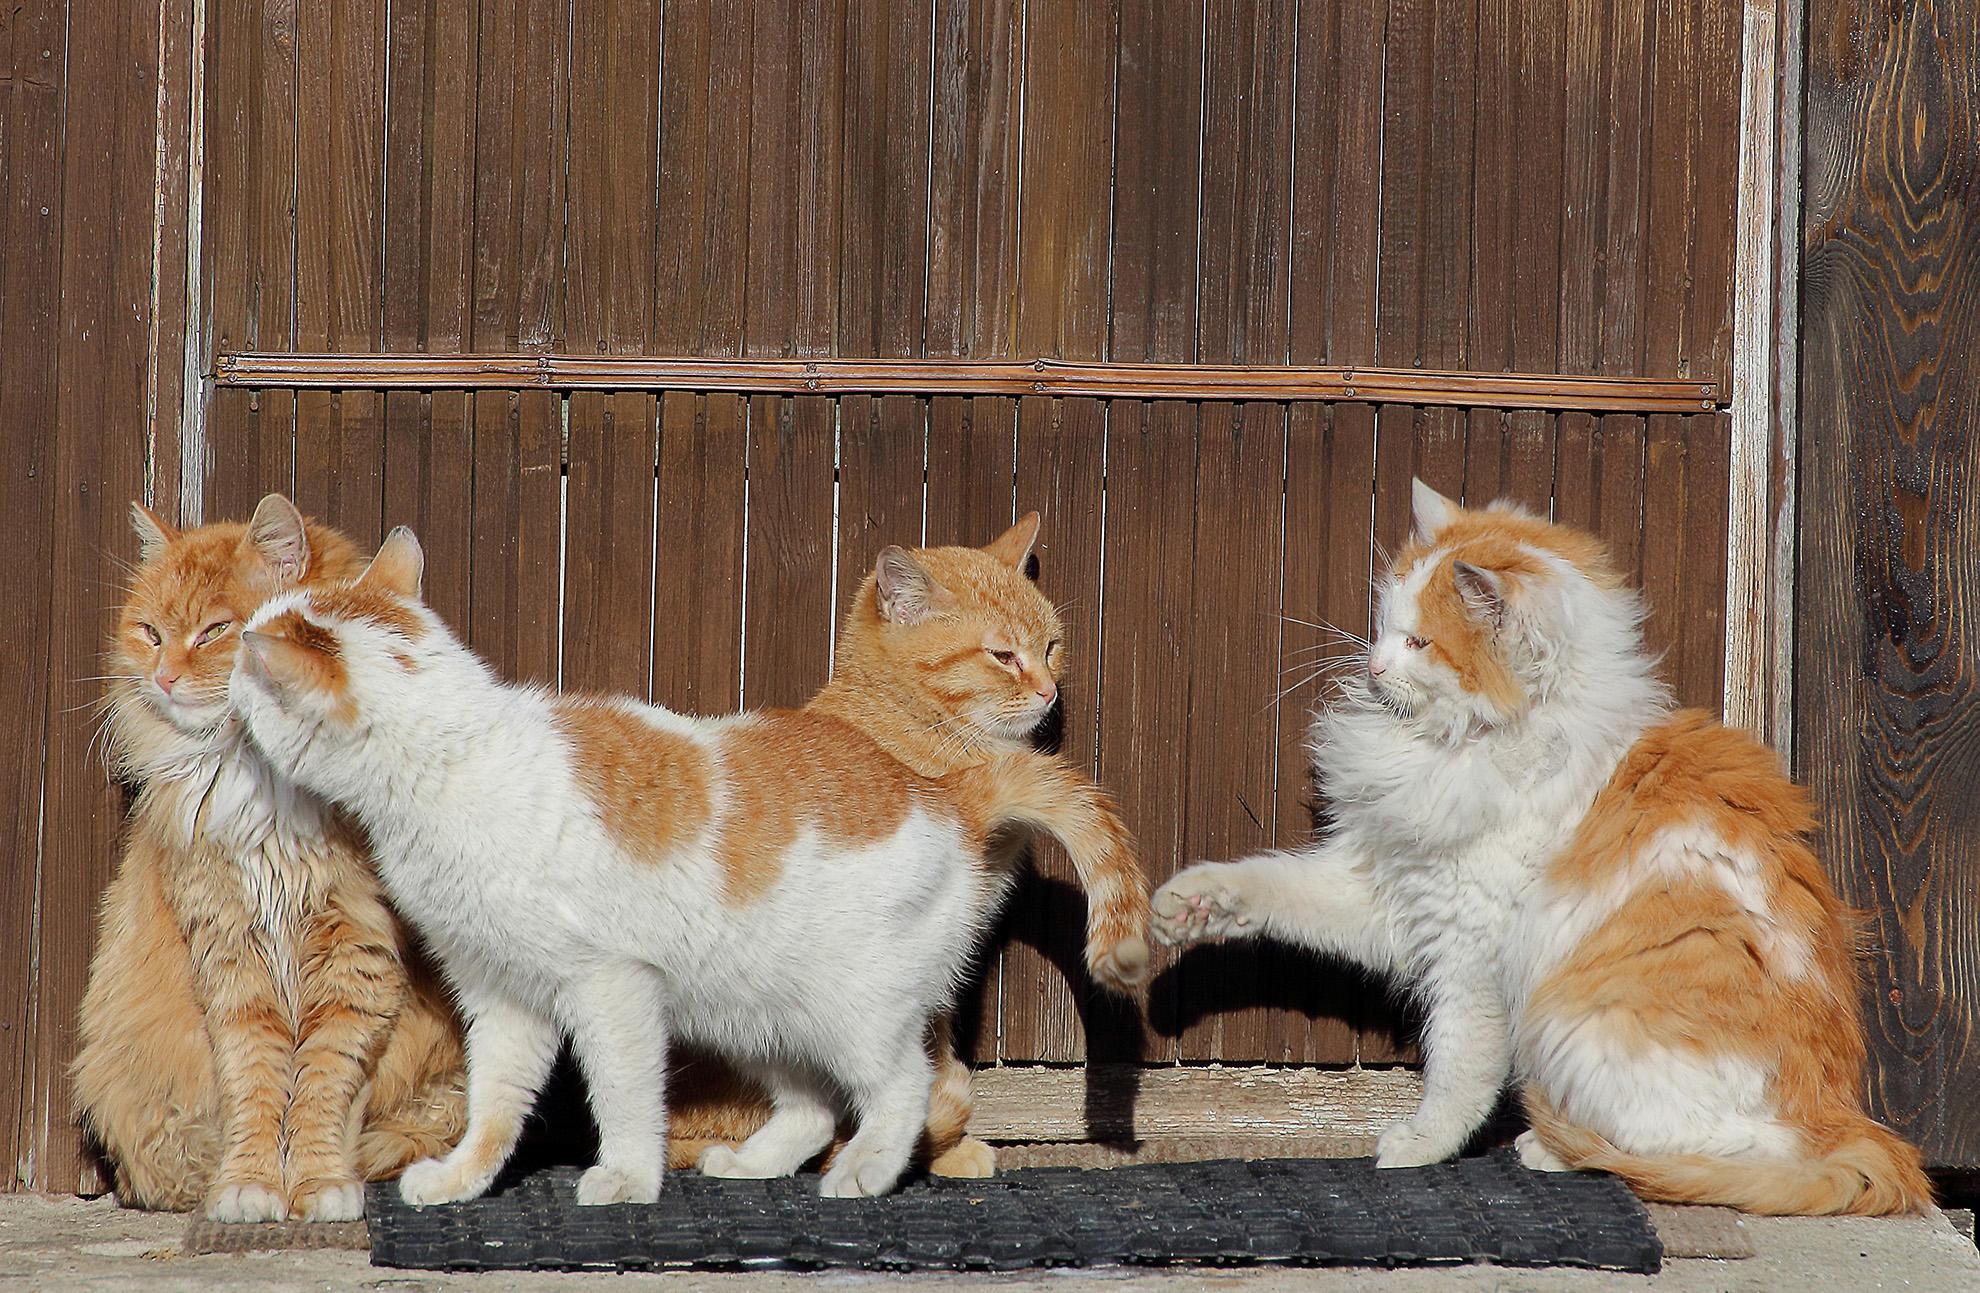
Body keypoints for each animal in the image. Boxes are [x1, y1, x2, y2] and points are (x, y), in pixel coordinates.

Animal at [71, 497, 465, 1219]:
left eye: (215, 630)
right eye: (150, 632)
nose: (163, 677)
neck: (266, 780)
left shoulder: (358, 950)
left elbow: (323, 1085)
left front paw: (319, 1182)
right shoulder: (231, 952)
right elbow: (255, 1082)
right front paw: (249, 1183)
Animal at [226, 518, 1148, 1203]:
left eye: (242, 665)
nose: (228, 684)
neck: (457, 753)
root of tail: (946, 789)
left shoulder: (613, 987)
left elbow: (625, 1094)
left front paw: (627, 1178)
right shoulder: (503, 994)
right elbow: (494, 1103)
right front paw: (464, 1178)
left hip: (853, 1007)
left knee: (903, 1088)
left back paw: (863, 1171)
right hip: (754, 1010)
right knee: (814, 1105)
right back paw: (757, 1162)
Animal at [1156, 481, 1924, 1211]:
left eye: (1419, 643)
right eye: (1386, 629)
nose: (1373, 667)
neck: (1477, 742)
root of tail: (1845, 1117)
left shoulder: (1471, 955)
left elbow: (1457, 1071)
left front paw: (1421, 1145)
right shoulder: (1397, 896)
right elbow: (1267, 885)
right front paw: (1188, 906)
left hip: (1583, 1023)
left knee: (1728, 1153)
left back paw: (1556, 1150)